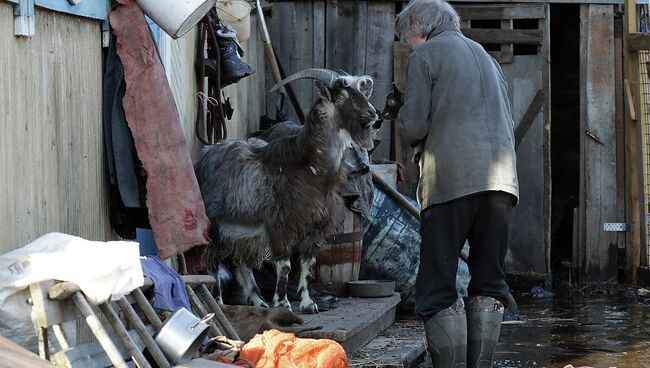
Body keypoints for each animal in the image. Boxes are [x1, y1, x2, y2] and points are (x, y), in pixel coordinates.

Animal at [192, 68, 378, 314]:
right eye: (341, 95)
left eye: (361, 91)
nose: (373, 114)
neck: (310, 169)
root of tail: (204, 154)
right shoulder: (280, 225)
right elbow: (285, 266)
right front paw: (283, 304)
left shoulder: (315, 226)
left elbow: (308, 264)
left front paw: (308, 304)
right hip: (214, 226)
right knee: (214, 264)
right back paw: (220, 302)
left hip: (242, 232)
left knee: (242, 262)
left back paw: (259, 301)